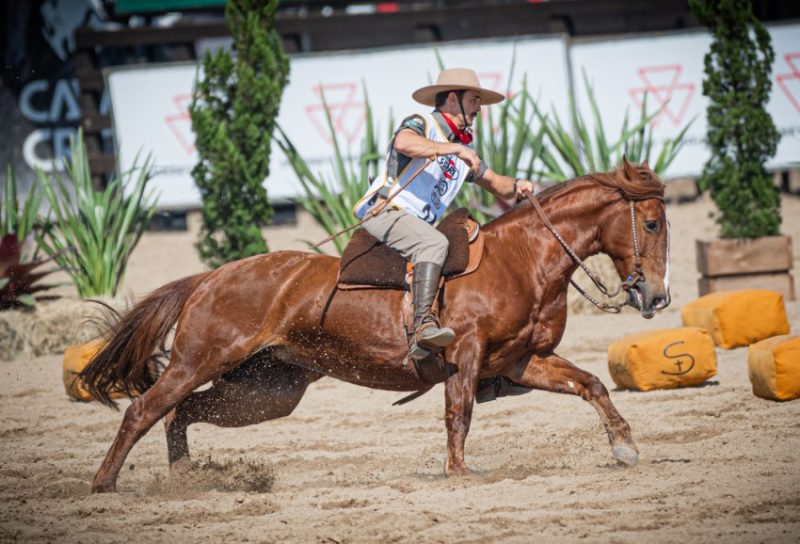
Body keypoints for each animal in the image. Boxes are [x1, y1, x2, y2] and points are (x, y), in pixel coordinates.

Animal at [81, 158, 668, 492]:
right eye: (653, 222)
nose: (656, 296)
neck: (522, 259)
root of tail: (210, 277)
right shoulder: (466, 355)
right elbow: (459, 414)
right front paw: (458, 472)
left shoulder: (523, 360)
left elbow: (591, 384)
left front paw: (624, 447)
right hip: (197, 361)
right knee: (143, 410)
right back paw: (104, 483)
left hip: (266, 389)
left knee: (181, 413)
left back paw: (186, 479)